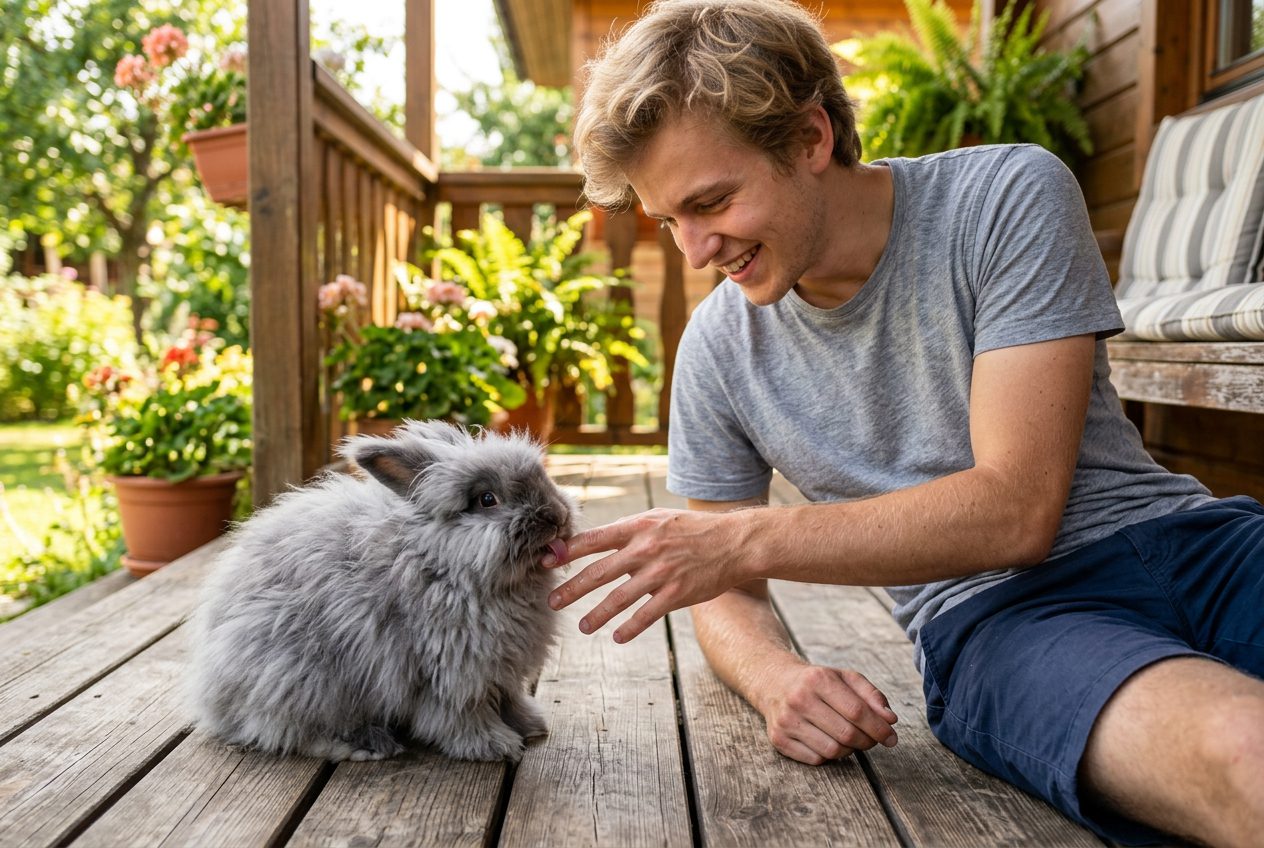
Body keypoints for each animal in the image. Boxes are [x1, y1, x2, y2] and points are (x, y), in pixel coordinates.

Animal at [187, 419, 576, 763]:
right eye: (487, 499)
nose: (555, 516)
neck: (440, 561)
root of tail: (210, 697)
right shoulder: (452, 674)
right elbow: (461, 715)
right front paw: (494, 745)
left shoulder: (503, 669)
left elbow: (510, 698)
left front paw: (531, 725)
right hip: (300, 680)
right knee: (289, 731)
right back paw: (367, 745)